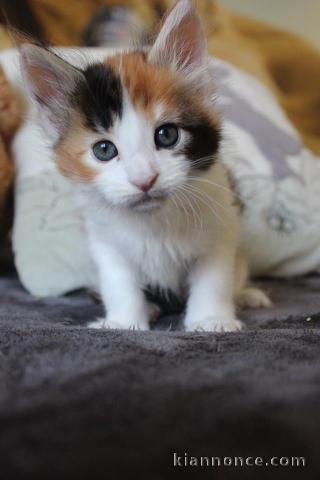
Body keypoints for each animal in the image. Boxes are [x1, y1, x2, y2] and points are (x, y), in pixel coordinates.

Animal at [20, 0, 270, 330]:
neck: (155, 222)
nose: (145, 180)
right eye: (104, 150)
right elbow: (119, 283)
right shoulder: (106, 242)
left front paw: (212, 319)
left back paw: (245, 295)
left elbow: (214, 278)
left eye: (167, 135)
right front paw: (124, 322)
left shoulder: (221, 227)